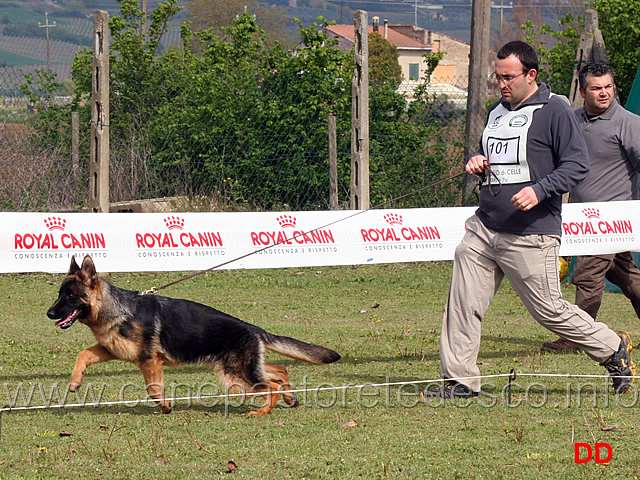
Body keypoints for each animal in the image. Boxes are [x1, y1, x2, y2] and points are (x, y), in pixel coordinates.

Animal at [46, 255, 340, 416]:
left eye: (70, 295)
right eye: (60, 293)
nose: (49, 313)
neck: (117, 309)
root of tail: (253, 328)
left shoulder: (150, 361)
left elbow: (153, 390)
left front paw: (166, 407)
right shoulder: (110, 349)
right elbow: (83, 355)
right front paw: (75, 382)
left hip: (236, 376)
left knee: (271, 386)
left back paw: (261, 411)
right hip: (241, 368)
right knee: (279, 371)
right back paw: (290, 398)